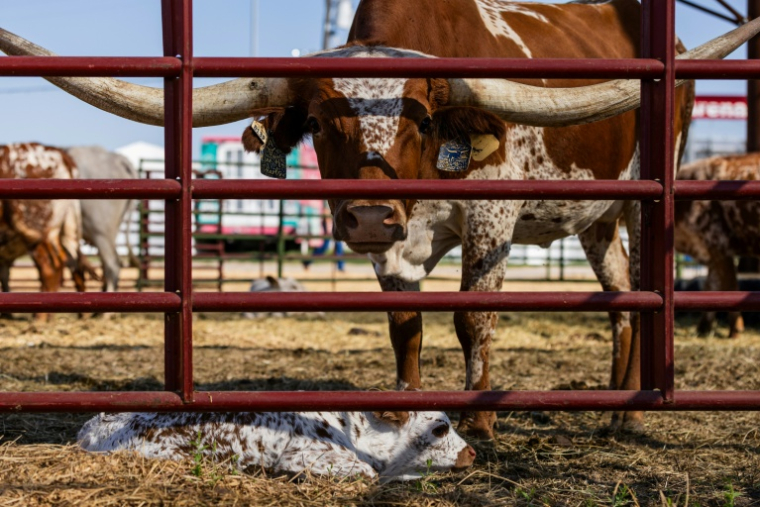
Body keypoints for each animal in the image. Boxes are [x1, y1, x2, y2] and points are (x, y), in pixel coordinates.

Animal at [675, 153, 760, 339]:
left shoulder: (718, 246)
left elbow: (729, 286)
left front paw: (735, 330)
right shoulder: (711, 253)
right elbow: (711, 286)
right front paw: (703, 328)